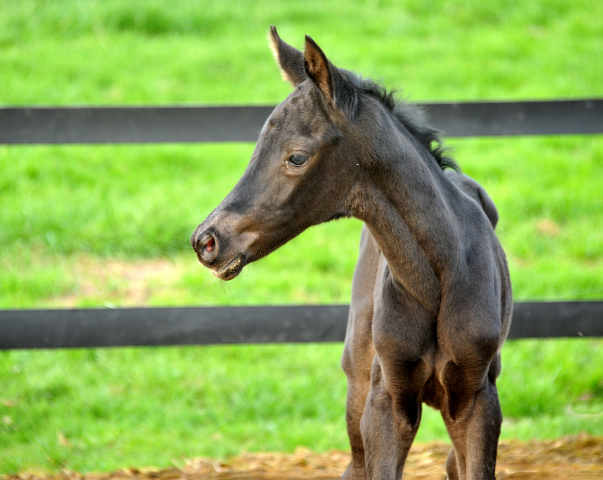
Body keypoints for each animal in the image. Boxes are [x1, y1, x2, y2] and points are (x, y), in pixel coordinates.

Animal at [191, 27, 512, 480]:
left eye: (296, 156)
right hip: (356, 380)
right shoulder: (385, 401)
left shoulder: (478, 400)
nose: (207, 240)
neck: (441, 274)